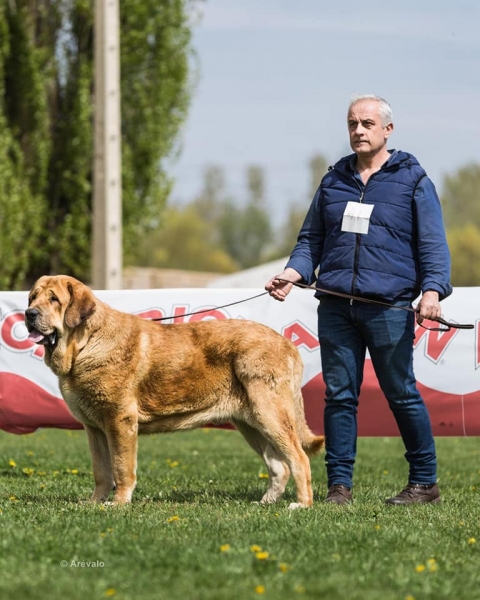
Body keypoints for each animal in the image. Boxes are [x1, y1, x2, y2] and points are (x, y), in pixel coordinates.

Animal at [24, 276, 322, 506]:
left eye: (54, 299)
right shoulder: (94, 428)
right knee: (279, 466)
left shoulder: (120, 420)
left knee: (299, 458)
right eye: (33, 298)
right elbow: (101, 471)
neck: (86, 342)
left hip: (269, 413)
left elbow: (121, 467)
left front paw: (118, 503)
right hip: (251, 424)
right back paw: (265, 503)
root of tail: (287, 343)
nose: (29, 314)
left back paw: (302, 504)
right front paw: (94, 503)